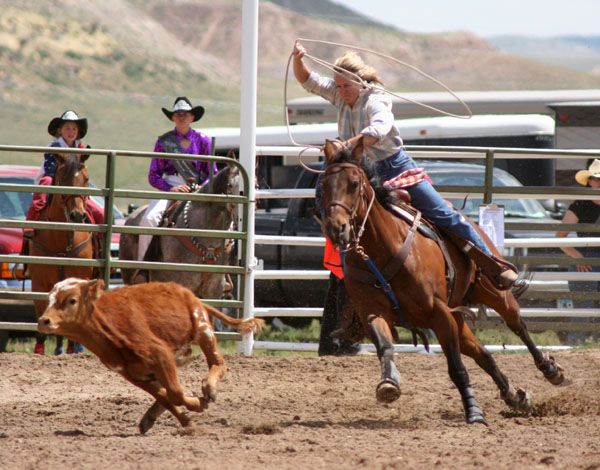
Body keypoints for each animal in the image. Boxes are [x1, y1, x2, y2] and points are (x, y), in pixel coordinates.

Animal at [37, 278, 262, 436]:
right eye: (49, 299)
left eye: (72, 300)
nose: (43, 321)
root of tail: (191, 295)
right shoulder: (132, 374)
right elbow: (165, 396)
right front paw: (185, 419)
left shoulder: (161, 354)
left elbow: (175, 393)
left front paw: (198, 403)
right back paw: (152, 415)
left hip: (203, 329)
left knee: (218, 363)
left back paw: (209, 390)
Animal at [322, 140, 564, 426]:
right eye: (323, 185)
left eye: (354, 183)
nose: (337, 228)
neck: (382, 250)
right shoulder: (373, 312)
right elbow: (385, 347)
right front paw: (388, 383)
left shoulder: (439, 313)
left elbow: (457, 368)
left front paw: (474, 413)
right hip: (457, 316)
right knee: (483, 354)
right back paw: (514, 397)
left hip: (495, 295)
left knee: (518, 327)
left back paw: (550, 370)